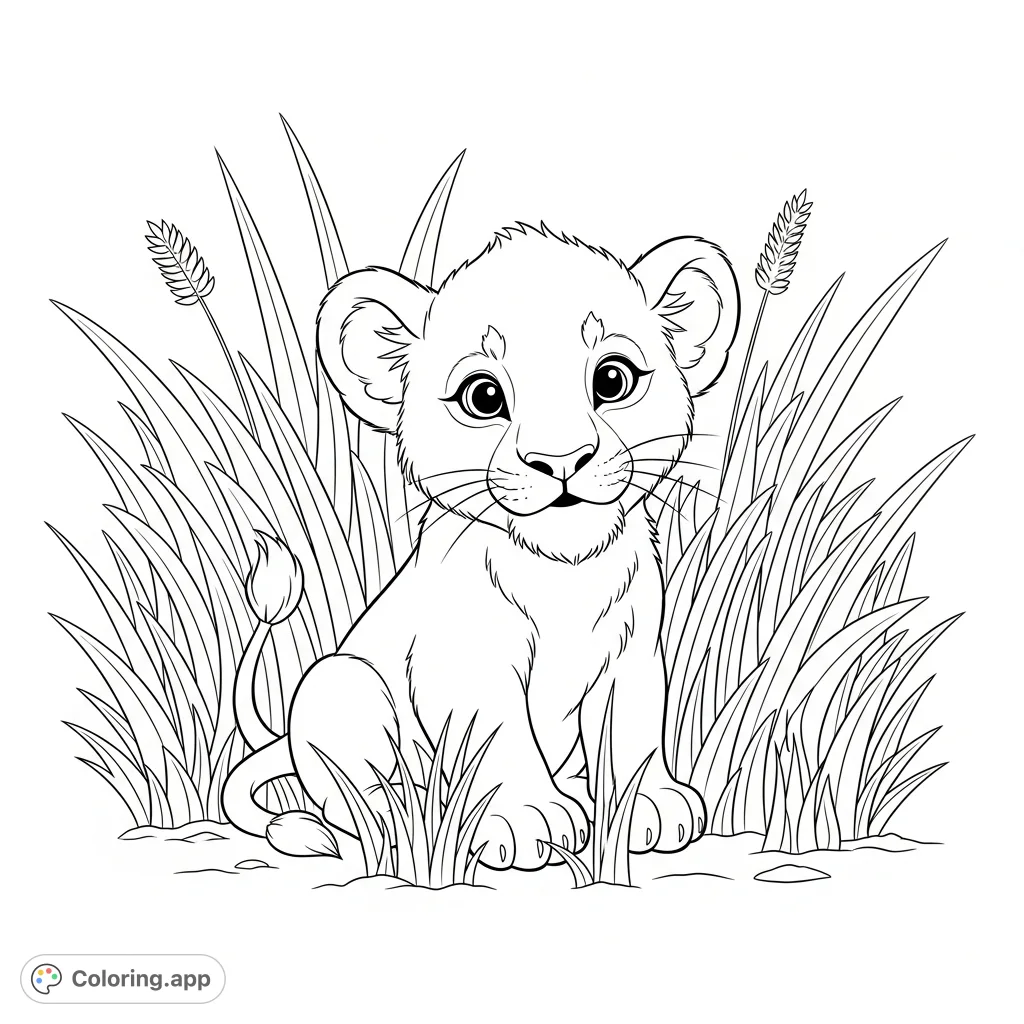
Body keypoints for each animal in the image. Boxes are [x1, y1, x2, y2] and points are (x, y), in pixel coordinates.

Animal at [223, 223, 739, 869]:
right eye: (484, 397)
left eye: (612, 379)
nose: (560, 460)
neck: (563, 574)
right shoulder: (469, 660)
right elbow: (499, 732)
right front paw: (528, 819)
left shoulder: (632, 652)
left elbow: (633, 728)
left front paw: (648, 804)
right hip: (337, 682)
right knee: (356, 801)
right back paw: (360, 824)